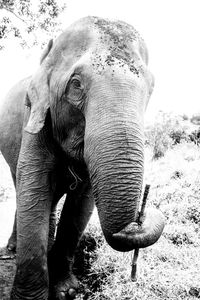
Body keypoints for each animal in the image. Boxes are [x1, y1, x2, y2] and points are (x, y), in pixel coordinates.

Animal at [0, 16, 165, 300]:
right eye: (76, 84)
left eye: (151, 87)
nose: (140, 219)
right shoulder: (35, 118)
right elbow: (33, 190)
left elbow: (81, 204)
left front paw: (67, 291)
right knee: (20, 186)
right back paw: (11, 248)